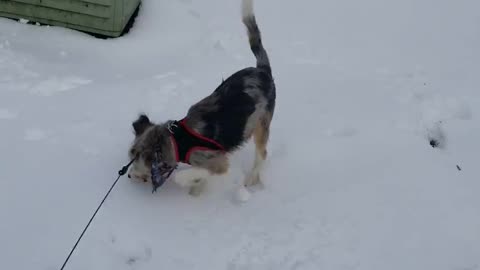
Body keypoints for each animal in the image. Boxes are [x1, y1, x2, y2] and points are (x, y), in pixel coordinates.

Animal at [125, 0, 276, 195]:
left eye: (135, 158)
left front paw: (186, 183)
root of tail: (262, 70)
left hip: (261, 123)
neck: (179, 140)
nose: (129, 175)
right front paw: (197, 189)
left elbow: (192, 174)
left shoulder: (217, 161)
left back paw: (251, 178)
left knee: (262, 154)